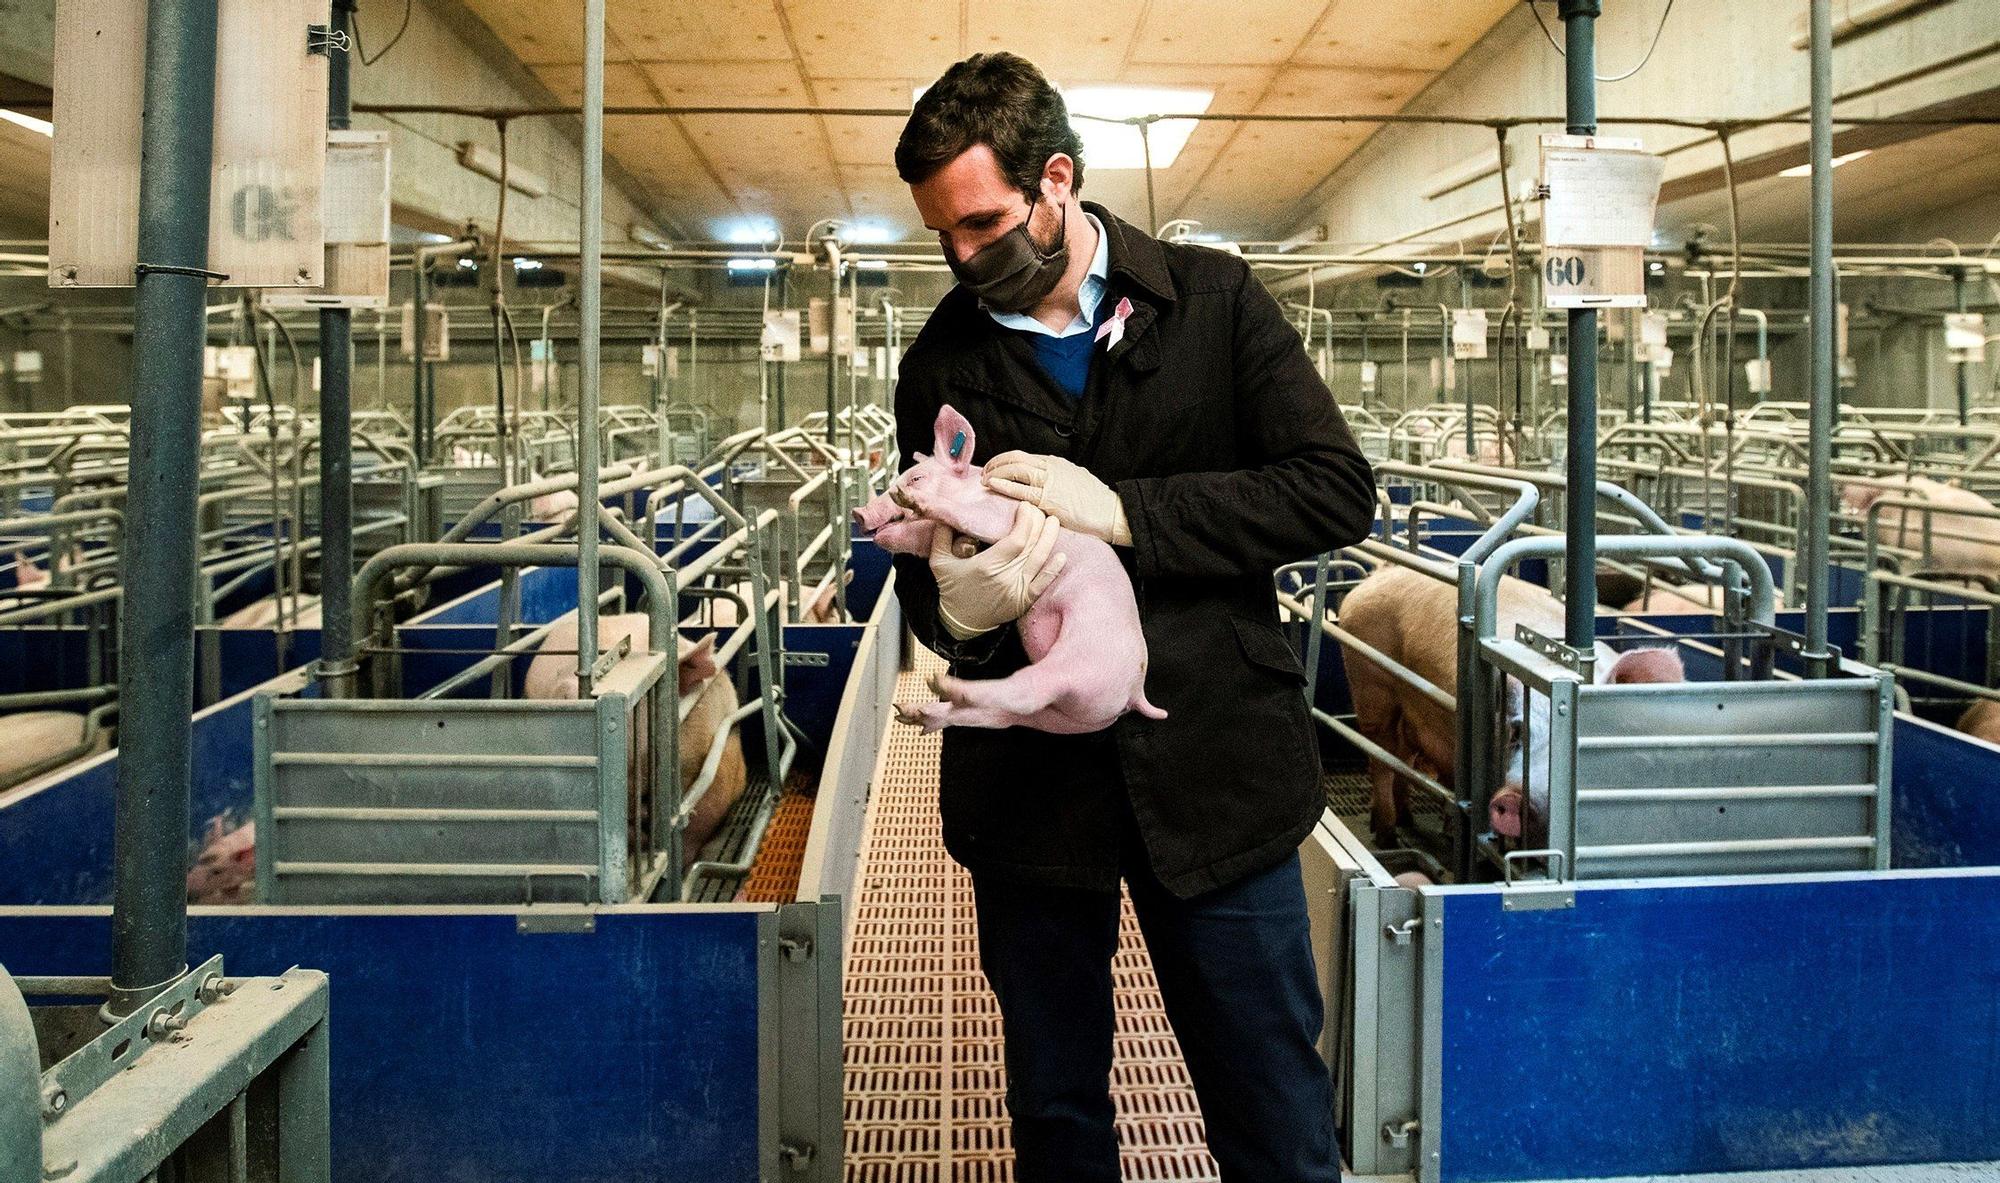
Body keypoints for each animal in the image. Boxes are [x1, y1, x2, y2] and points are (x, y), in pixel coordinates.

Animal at [848, 409, 1168, 739]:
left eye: (915, 478)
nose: (859, 513)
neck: (974, 492)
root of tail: (1135, 693)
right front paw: (965, 549)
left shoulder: (1002, 514)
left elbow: (966, 516)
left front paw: (919, 505)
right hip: (1063, 717)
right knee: (1006, 713)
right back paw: (914, 713)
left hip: (1085, 654)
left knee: (1027, 690)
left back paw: (944, 686)